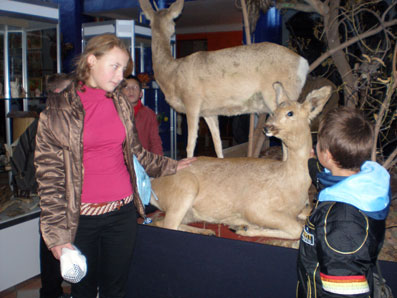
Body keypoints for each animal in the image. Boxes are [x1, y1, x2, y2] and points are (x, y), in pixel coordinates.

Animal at [139, 0, 310, 158]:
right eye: (151, 21)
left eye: (173, 22)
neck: (172, 74)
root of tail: (304, 63)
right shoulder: (208, 111)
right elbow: (218, 144)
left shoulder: (192, 101)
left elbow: (190, 144)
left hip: (279, 96)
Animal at [149, 84, 332, 240]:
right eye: (274, 111)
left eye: (290, 113)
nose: (267, 127)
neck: (291, 183)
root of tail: (153, 185)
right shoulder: (255, 207)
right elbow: (297, 229)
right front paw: (245, 228)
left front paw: (243, 227)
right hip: (185, 190)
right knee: (167, 224)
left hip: (188, 210)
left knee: (162, 222)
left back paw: (208, 231)